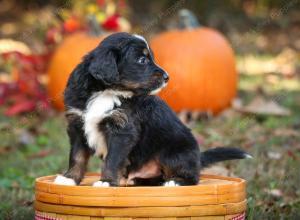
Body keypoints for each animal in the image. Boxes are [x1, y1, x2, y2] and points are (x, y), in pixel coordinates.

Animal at [54, 32, 251, 187]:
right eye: (142, 60)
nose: (167, 77)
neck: (106, 91)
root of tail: (198, 157)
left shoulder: (122, 130)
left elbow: (112, 159)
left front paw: (106, 182)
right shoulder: (77, 124)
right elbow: (77, 156)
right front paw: (69, 178)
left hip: (174, 152)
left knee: (191, 176)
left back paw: (174, 182)